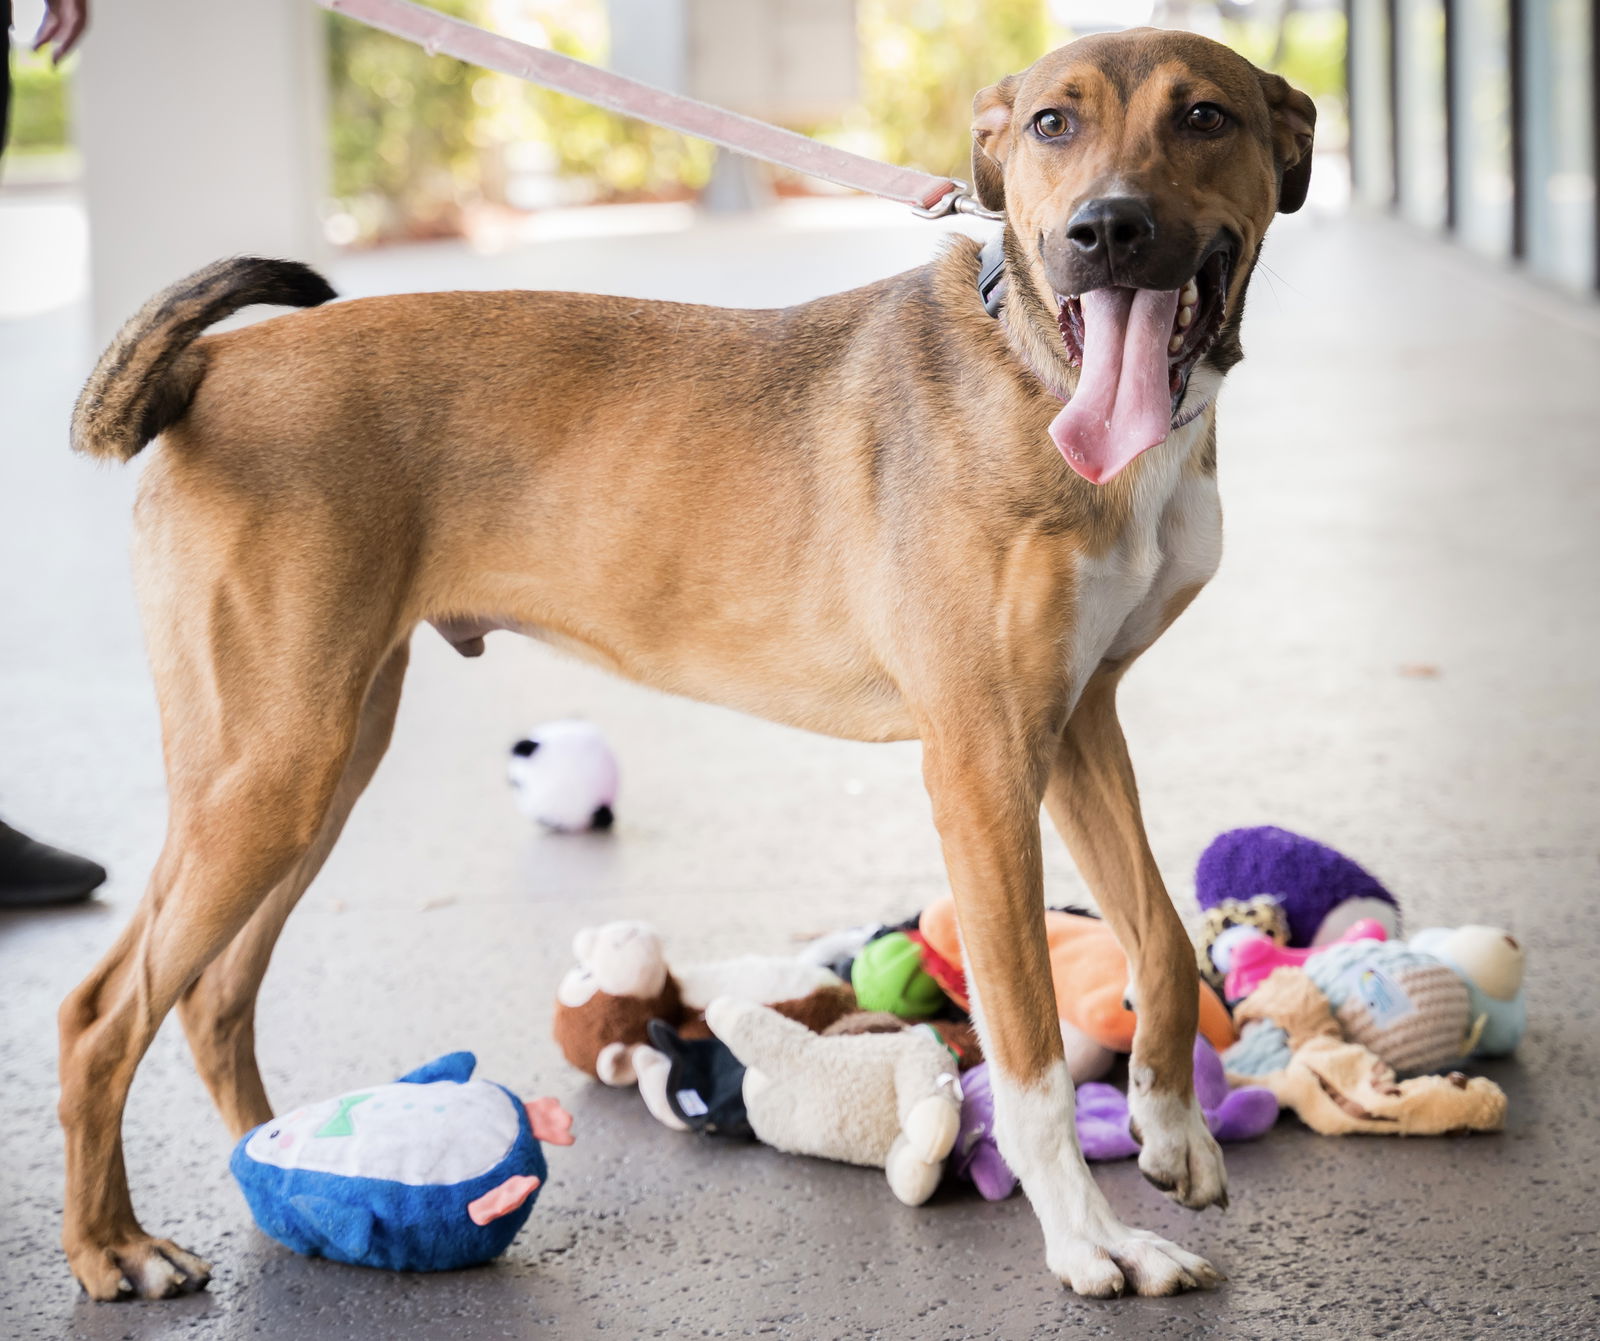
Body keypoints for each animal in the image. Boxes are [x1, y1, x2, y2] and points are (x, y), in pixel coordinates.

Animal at [59, 28, 1312, 1299]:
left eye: (1204, 117)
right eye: (1054, 123)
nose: (1105, 231)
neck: (1038, 370)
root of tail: (213, 364)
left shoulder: (1074, 723)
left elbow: (1159, 937)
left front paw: (1169, 1127)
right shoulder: (982, 764)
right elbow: (1029, 1048)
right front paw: (1088, 1240)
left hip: (321, 761)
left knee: (213, 997)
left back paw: (285, 1169)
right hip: (268, 771)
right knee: (102, 1012)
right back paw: (116, 1245)